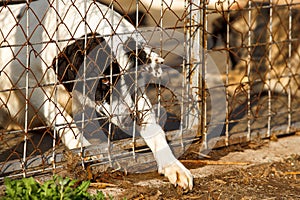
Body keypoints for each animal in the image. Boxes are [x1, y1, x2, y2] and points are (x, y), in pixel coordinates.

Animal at [0, 0, 192, 190]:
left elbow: (155, 129)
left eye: (133, 78)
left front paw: (172, 165)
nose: (131, 119)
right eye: (105, 81)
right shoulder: (24, 78)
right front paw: (82, 147)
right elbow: (60, 118)